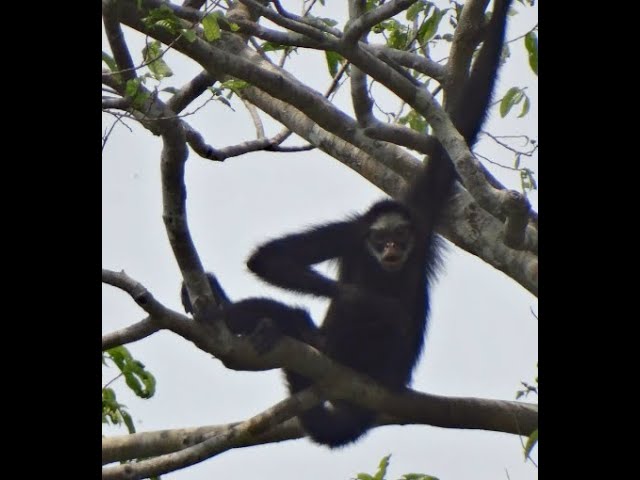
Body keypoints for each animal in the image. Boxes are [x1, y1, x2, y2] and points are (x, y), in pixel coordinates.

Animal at [182, 0, 512, 448]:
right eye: (381, 238)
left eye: (400, 236)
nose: (392, 249)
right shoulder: (353, 232)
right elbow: (270, 260)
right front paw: (368, 300)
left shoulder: (422, 213)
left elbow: (462, 124)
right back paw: (261, 324)